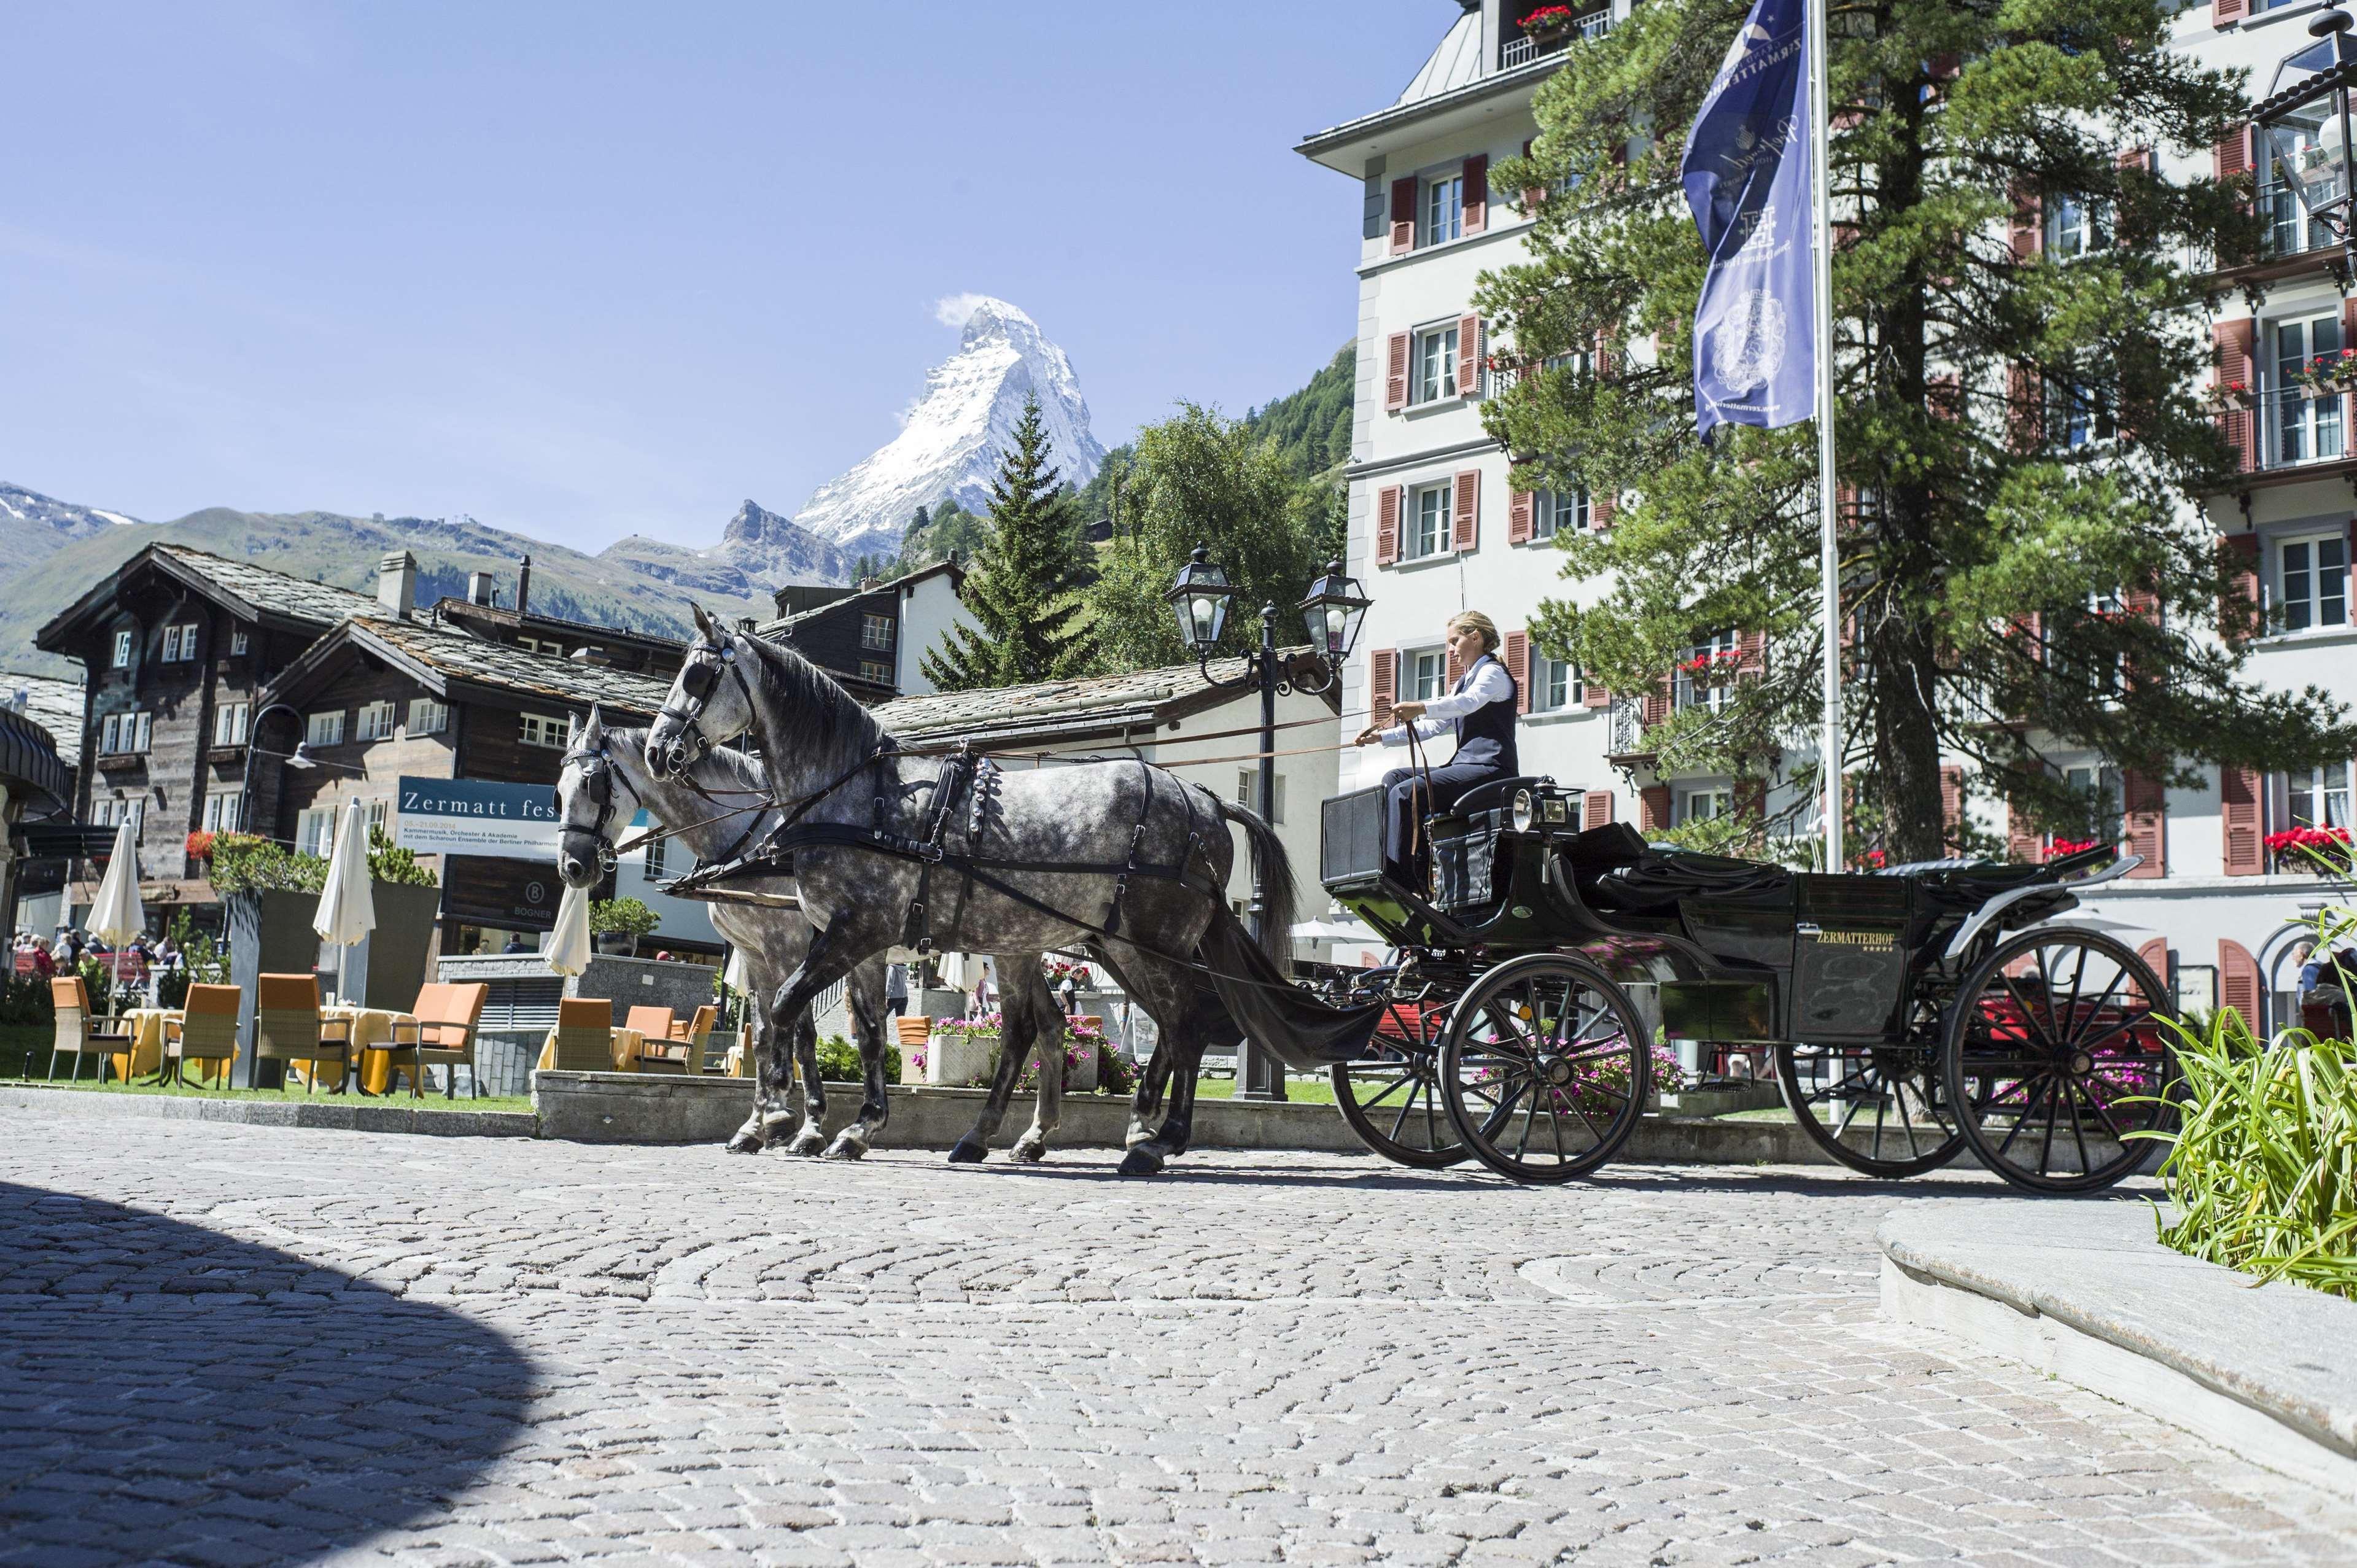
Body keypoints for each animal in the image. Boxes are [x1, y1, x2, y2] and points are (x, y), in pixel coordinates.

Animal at [556, 716, 895, 1155]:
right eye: (558, 791)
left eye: (592, 785)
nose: (571, 867)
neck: (753, 842)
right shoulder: (751, 953)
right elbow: (763, 1036)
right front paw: (755, 1125)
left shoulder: (787, 948)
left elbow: (802, 1033)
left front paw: (805, 1125)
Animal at [645, 604, 1301, 1169]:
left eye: (698, 675)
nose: (657, 751)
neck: (858, 794)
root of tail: (1207, 800)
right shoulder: (859, 945)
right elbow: (865, 1033)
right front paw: (857, 1127)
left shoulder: (849, 933)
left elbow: (784, 1010)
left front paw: (781, 1116)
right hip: (1101, 946)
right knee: (1103, 1028)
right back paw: (1042, 1134)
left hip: (1151, 945)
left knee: (1184, 1024)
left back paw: (1157, 1140)